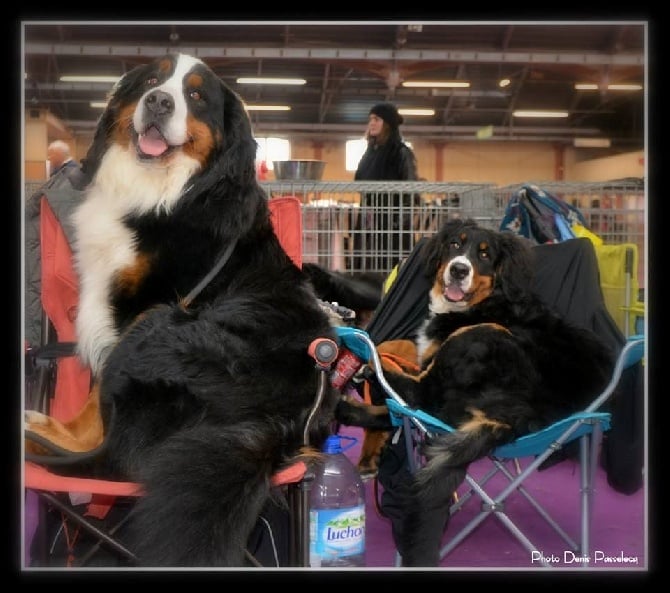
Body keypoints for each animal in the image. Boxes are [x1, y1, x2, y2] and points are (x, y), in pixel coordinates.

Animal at [23, 54, 344, 564]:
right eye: (152, 80)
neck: (164, 188)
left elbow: (98, 403)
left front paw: (71, 434)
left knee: (114, 460)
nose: (159, 102)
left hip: (160, 326)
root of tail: (276, 423)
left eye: (195, 95)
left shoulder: (144, 306)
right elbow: (93, 394)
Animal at [336, 217, 620, 564]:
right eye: (455, 245)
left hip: (483, 337)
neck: (484, 302)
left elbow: (405, 363)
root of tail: (517, 417)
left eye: (484, 255)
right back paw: (351, 406)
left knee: (418, 397)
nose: (459, 269)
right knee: (410, 406)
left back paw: (370, 374)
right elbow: (405, 353)